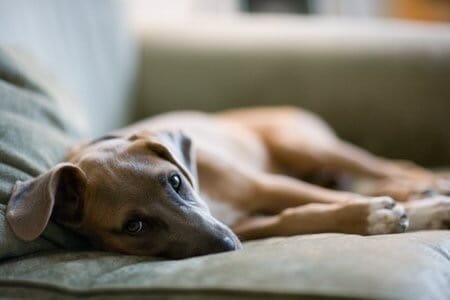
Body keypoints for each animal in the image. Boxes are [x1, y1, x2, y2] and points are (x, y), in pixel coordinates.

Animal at [6, 107, 450, 258]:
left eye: (175, 181)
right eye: (134, 226)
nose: (227, 245)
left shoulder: (266, 186)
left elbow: (315, 199)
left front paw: (422, 211)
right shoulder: (248, 222)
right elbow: (300, 216)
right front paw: (378, 214)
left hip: (306, 145)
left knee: (395, 166)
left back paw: (429, 184)